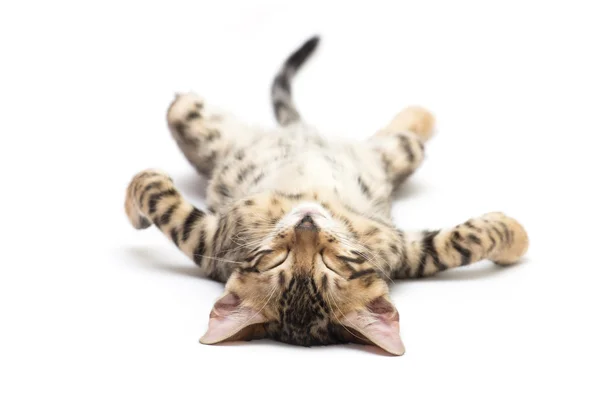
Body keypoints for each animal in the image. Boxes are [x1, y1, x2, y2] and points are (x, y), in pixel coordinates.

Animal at [124, 35, 528, 354]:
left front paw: (515, 238)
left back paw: (420, 112)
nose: (306, 225)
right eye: (275, 261)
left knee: (400, 141)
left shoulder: (407, 250)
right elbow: (154, 192)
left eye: (331, 263)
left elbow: (458, 243)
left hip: (384, 154)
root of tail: (298, 129)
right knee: (181, 108)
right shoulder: (206, 238)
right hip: (205, 126)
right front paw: (135, 201)